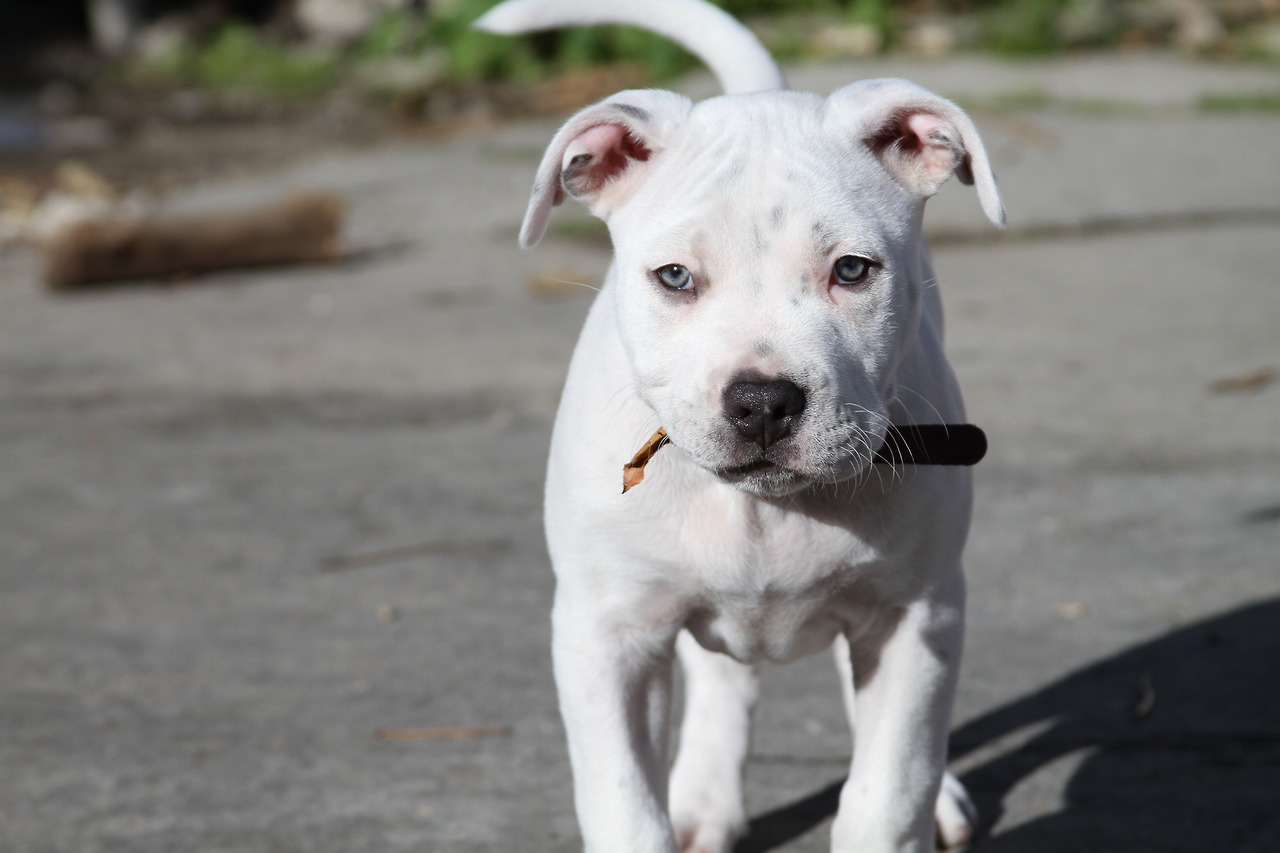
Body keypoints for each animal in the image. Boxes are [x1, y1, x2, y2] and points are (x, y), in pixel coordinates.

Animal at [476, 3, 1003, 845]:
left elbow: (887, 794)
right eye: (674, 277)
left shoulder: (915, 617)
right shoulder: (608, 634)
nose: (761, 401)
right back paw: (703, 800)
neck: (766, 507)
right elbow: (626, 808)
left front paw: (908, 802)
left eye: (852, 270)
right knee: (725, 675)